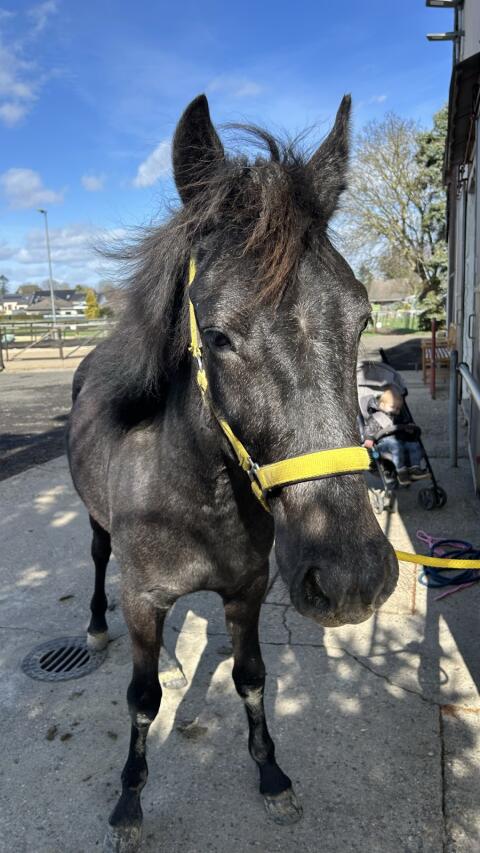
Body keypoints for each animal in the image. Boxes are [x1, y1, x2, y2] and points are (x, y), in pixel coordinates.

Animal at [67, 93, 398, 852]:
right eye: (216, 334)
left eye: (363, 317)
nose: (353, 579)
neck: (194, 498)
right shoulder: (142, 597)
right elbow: (141, 701)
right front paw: (128, 803)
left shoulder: (247, 591)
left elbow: (251, 677)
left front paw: (271, 775)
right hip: (97, 532)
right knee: (98, 564)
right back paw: (96, 630)